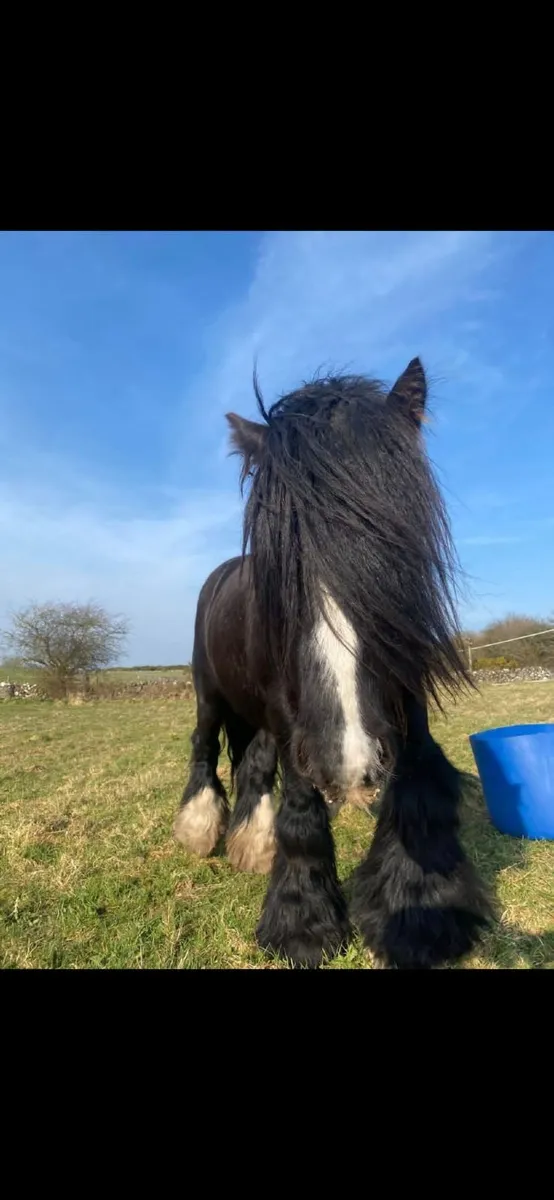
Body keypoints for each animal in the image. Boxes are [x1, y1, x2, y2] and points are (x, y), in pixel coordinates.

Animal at [174, 357, 492, 968]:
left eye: (397, 544)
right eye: (279, 562)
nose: (345, 764)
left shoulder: (403, 702)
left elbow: (417, 789)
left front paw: (421, 915)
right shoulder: (297, 724)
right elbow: (301, 812)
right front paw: (304, 926)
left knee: (253, 763)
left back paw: (253, 842)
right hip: (211, 693)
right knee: (206, 747)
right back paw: (201, 829)